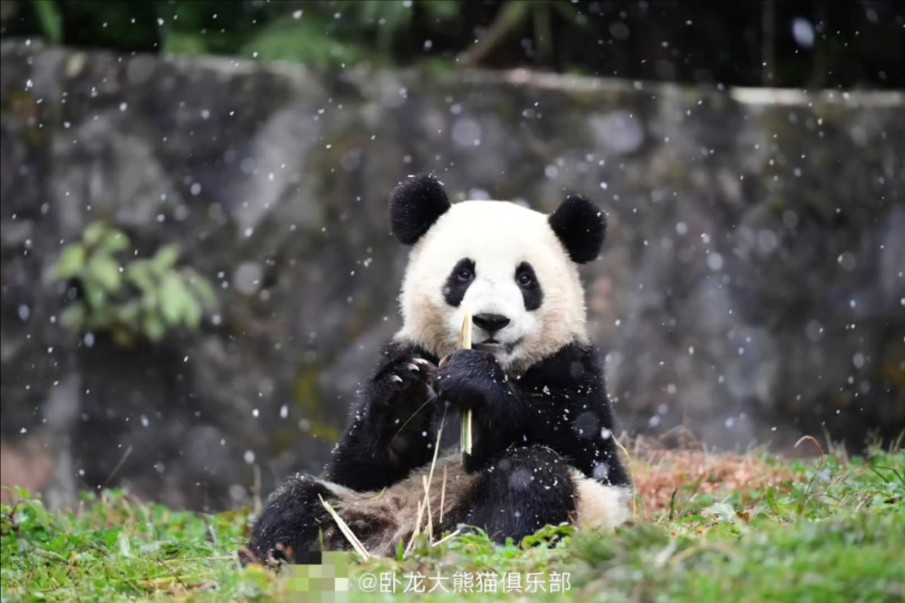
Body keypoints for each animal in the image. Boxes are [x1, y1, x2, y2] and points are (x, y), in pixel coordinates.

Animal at [244, 177, 632, 564]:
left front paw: (474, 379)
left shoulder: (573, 366)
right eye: (464, 273)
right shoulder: (408, 350)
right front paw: (402, 394)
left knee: (531, 475)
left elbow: (580, 441)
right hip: (372, 509)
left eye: (525, 279)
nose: (491, 320)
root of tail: (410, 541)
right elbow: (358, 468)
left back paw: (477, 545)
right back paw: (272, 558)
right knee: (301, 503)